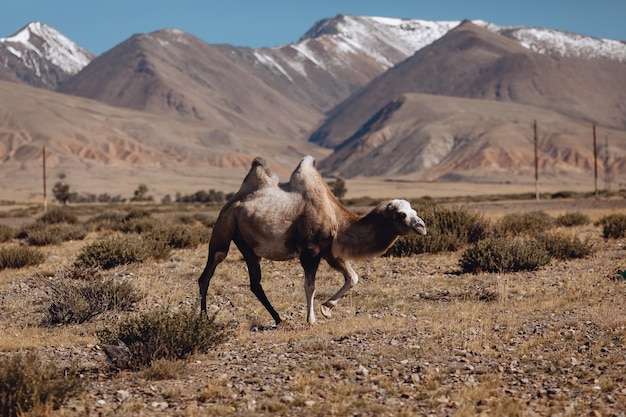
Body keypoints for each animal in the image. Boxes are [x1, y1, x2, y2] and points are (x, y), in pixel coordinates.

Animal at [197, 156, 426, 324]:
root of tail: (230, 204)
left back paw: (278, 319)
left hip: (248, 246)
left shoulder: (330, 251)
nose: (422, 226)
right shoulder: (310, 251)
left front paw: (327, 309)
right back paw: (204, 319)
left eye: (414, 211)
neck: (336, 219)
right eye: (401, 215)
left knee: (254, 283)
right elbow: (310, 286)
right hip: (223, 230)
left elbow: (352, 277)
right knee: (209, 271)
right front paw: (312, 319)